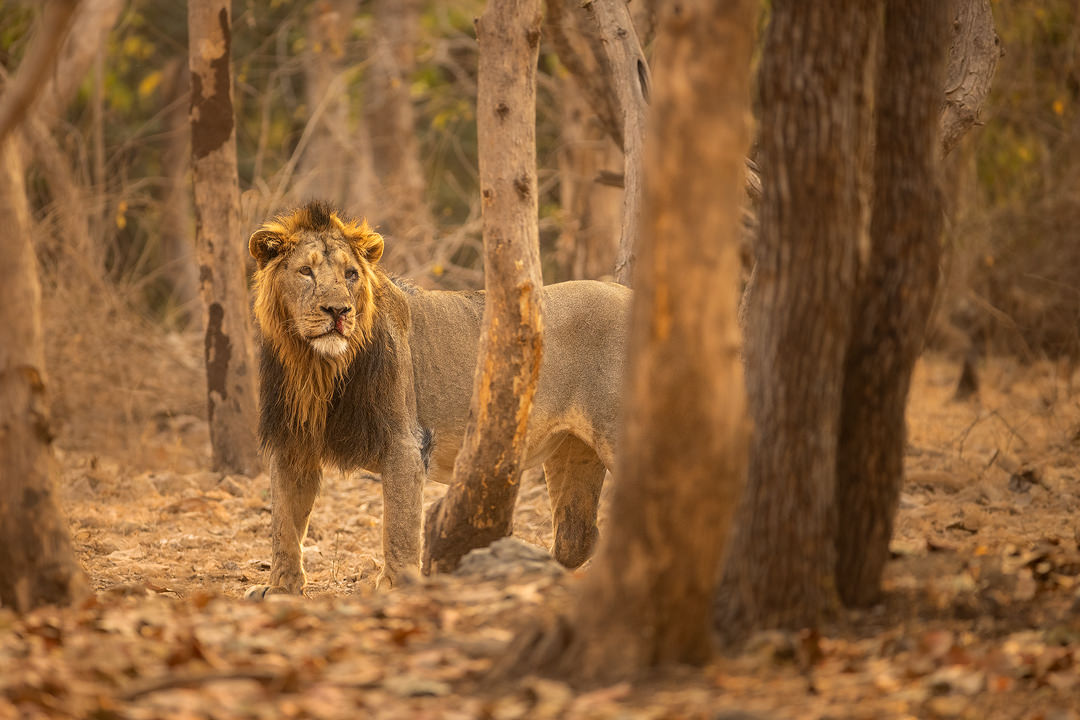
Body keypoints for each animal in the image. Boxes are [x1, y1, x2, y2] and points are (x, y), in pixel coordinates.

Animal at [243, 202, 630, 595]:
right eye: (305, 271)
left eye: (350, 274)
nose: (338, 311)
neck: (317, 366)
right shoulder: (292, 444)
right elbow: (284, 523)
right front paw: (281, 588)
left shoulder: (405, 443)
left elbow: (399, 527)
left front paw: (395, 587)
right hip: (572, 450)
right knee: (576, 535)